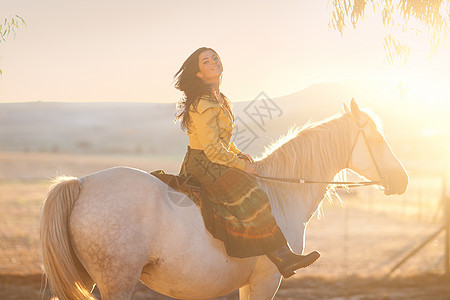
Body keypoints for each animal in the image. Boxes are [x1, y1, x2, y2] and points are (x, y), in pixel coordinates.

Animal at [40, 99, 410, 298]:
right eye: (378, 138)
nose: (402, 180)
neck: (282, 194)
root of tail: (81, 183)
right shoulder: (267, 280)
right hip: (116, 282)